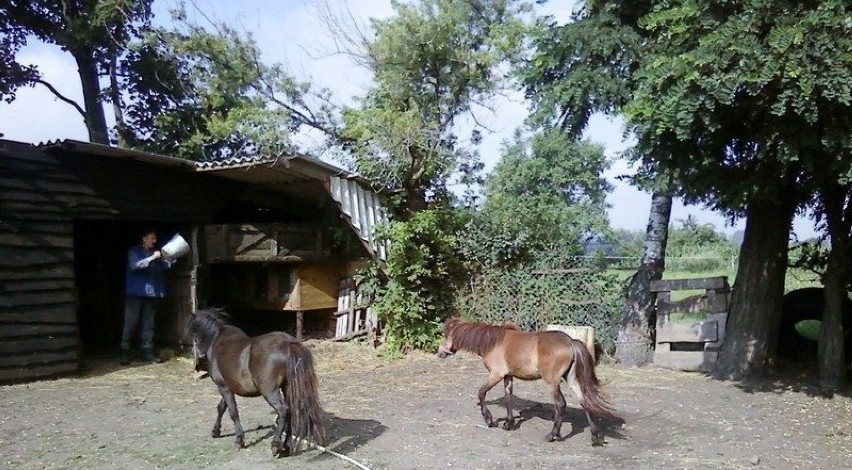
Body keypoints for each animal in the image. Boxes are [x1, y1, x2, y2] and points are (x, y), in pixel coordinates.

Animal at [188, 308, 324, 458]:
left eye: (194, 332)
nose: (196, 354)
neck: (217, 341)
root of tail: (288, 343)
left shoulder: (223, 387)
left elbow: (232, 411)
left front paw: (239, 441)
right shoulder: (228, 387)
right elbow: (221, 407)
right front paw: (216, 431)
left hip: (270, 391)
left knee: (283, 410)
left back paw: (276, 445)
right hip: (287, 388)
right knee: (291, 411)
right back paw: (285, 447)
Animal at [440, 318, 620, 446]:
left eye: (446, 335)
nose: (440, 352)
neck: (493, 342)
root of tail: (571, 342)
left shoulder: (496, 374)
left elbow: (482, 392)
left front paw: (489, 420)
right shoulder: (508, 376)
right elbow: (508, 398)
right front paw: (509, 424)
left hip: (552, 382)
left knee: (561, 404)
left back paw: (552, 435)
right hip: (571, 378)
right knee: (585, 401)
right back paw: (595, 437)